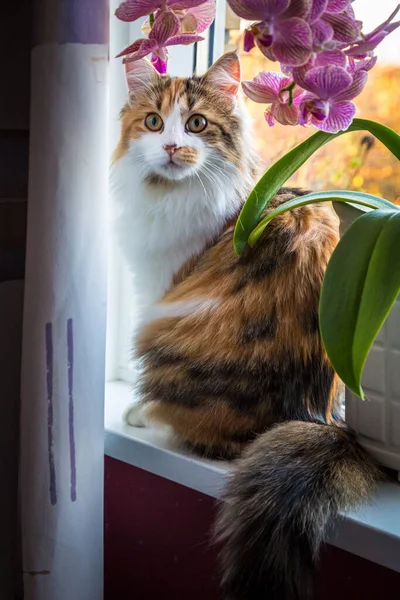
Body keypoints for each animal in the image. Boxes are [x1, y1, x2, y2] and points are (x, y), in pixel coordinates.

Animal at [111, 52, 380, 600]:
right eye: (153, 122)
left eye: (196, 124)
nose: (171, 146)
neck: (171, 194)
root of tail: (319, 418)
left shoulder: (159, 286)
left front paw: (137, 410)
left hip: (157, 330)